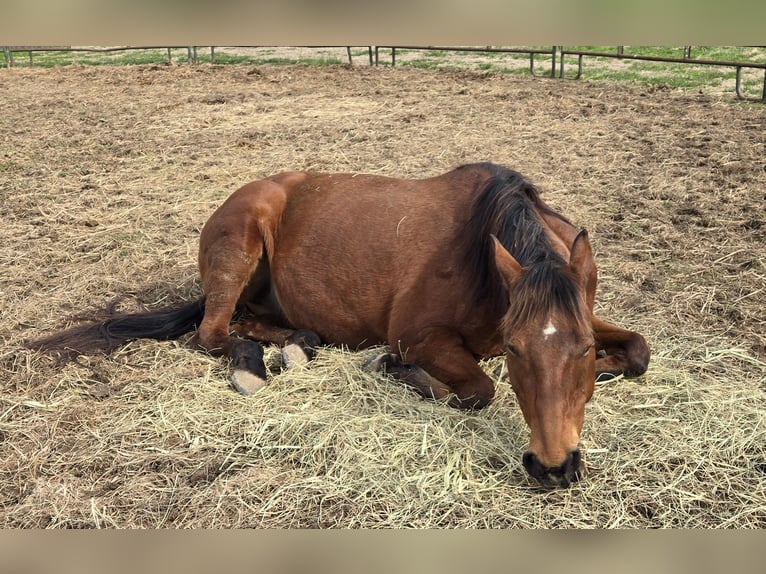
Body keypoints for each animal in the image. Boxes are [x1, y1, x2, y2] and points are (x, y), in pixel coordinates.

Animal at [29, 162, 650, 488]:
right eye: (517, 350)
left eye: (584, 350)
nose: (553, 467)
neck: (481, 254)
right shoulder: (417, 336)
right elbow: (478, 388)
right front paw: (402, 373)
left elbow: (640, 351)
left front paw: (615, 365)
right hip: (239, 251)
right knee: (214, 334)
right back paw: (256, 367)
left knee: (257, 324)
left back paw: (299, 346)